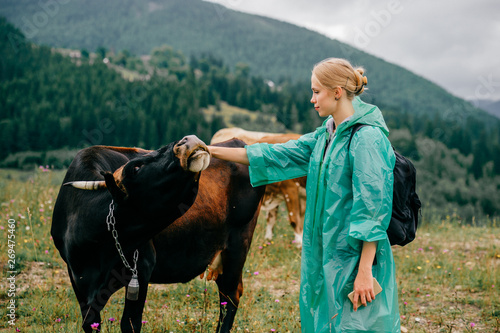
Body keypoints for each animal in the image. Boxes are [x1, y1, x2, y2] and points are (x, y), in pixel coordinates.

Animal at [51, 136, 266, 332]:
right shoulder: (77, 278)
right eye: (135, 168)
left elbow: (130, 324)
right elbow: (91, 323)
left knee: (230, 295)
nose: (188, 140)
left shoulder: (142, 269)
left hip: (237, 247)